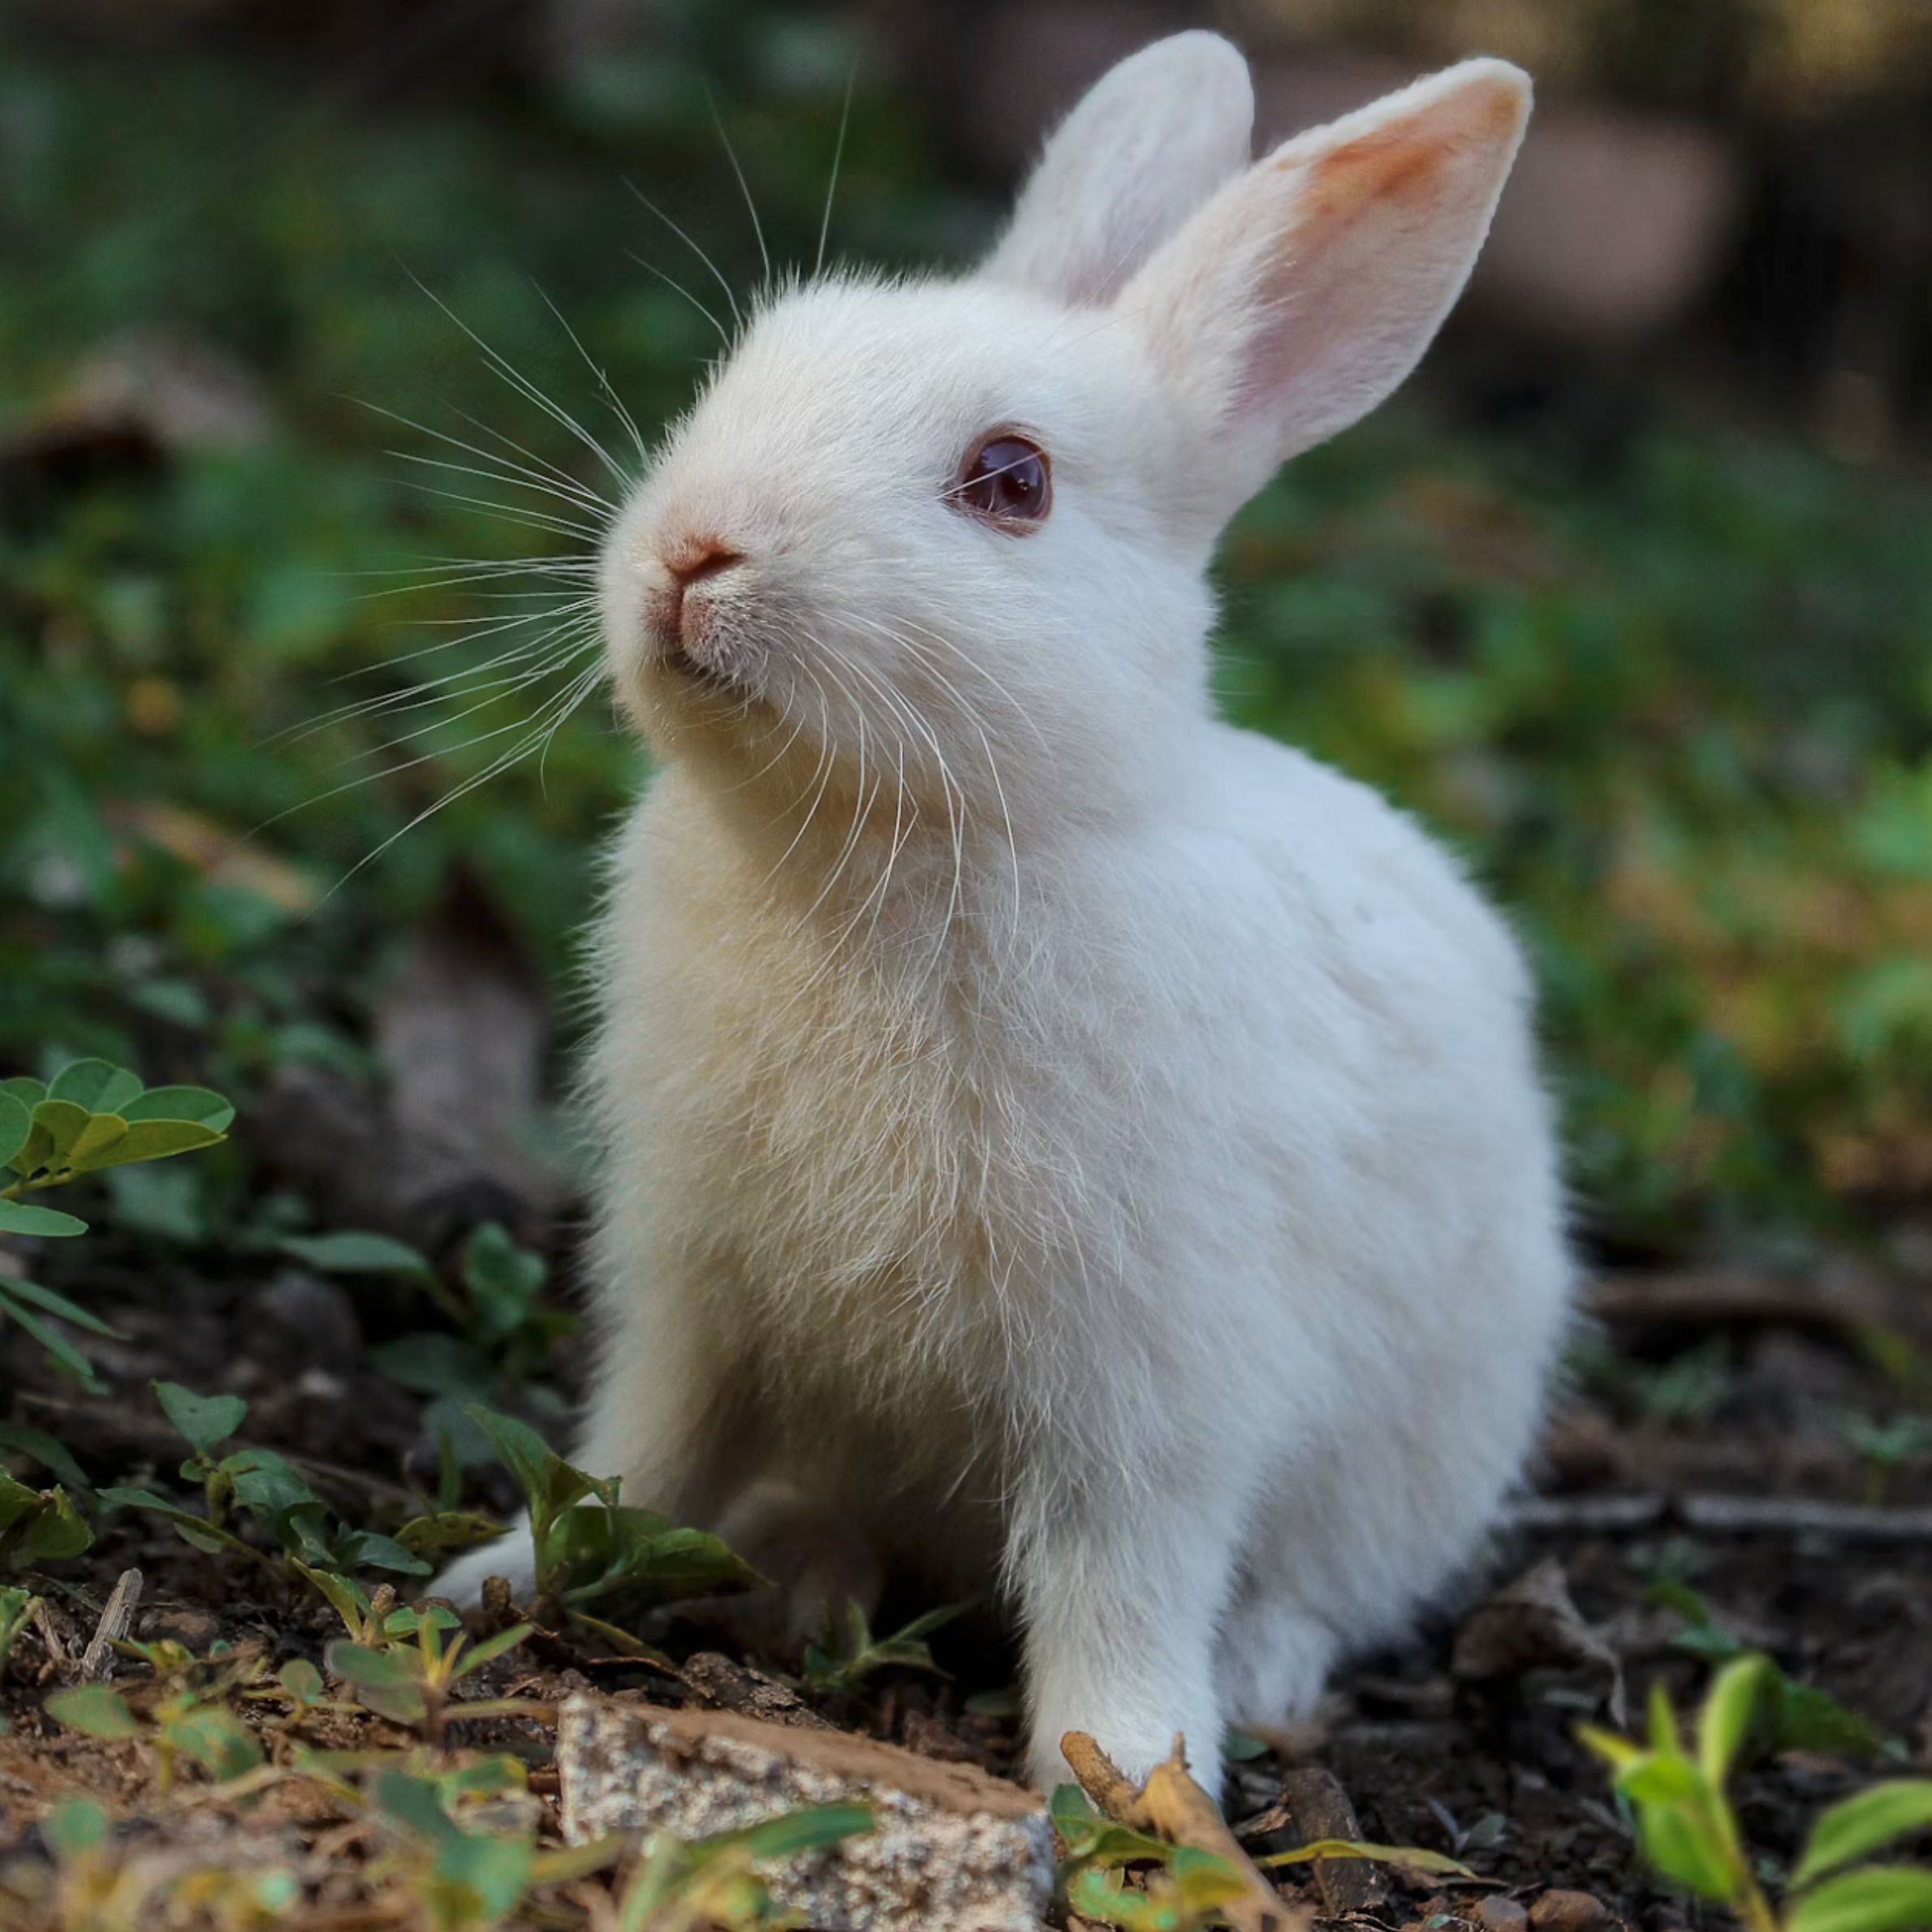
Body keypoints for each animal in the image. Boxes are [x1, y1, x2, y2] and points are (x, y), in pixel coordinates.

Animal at [438, 31, 1572, 1793]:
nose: (693, 552)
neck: (892, 844)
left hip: (1423, 1447)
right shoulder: (690, 1288)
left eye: (1011, 480)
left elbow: (1122, 1570)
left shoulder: (1148, 1379)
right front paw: (498, 1575)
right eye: (747, 365)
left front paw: (1131, 1775)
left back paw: (1256, 1678)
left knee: (1318, 1584)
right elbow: (638, 1450)